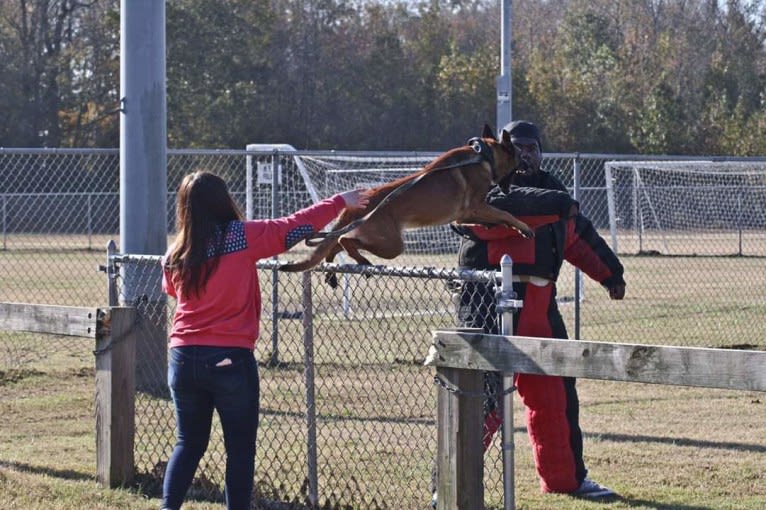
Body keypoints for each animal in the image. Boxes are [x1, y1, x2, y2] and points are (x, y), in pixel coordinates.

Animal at [280, 122, 536, 284]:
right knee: (345, 241)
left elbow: (497, 218)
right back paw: (362, 261)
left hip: (380, 240)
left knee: (335, 245)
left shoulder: (467, 214)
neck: (484, 156)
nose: (526, 164)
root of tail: (356, 207)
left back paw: (333, 270)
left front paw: (498, 226)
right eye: (518, 155)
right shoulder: (473, 208)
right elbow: (505, 214)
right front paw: (524, 228)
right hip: (392, 245)